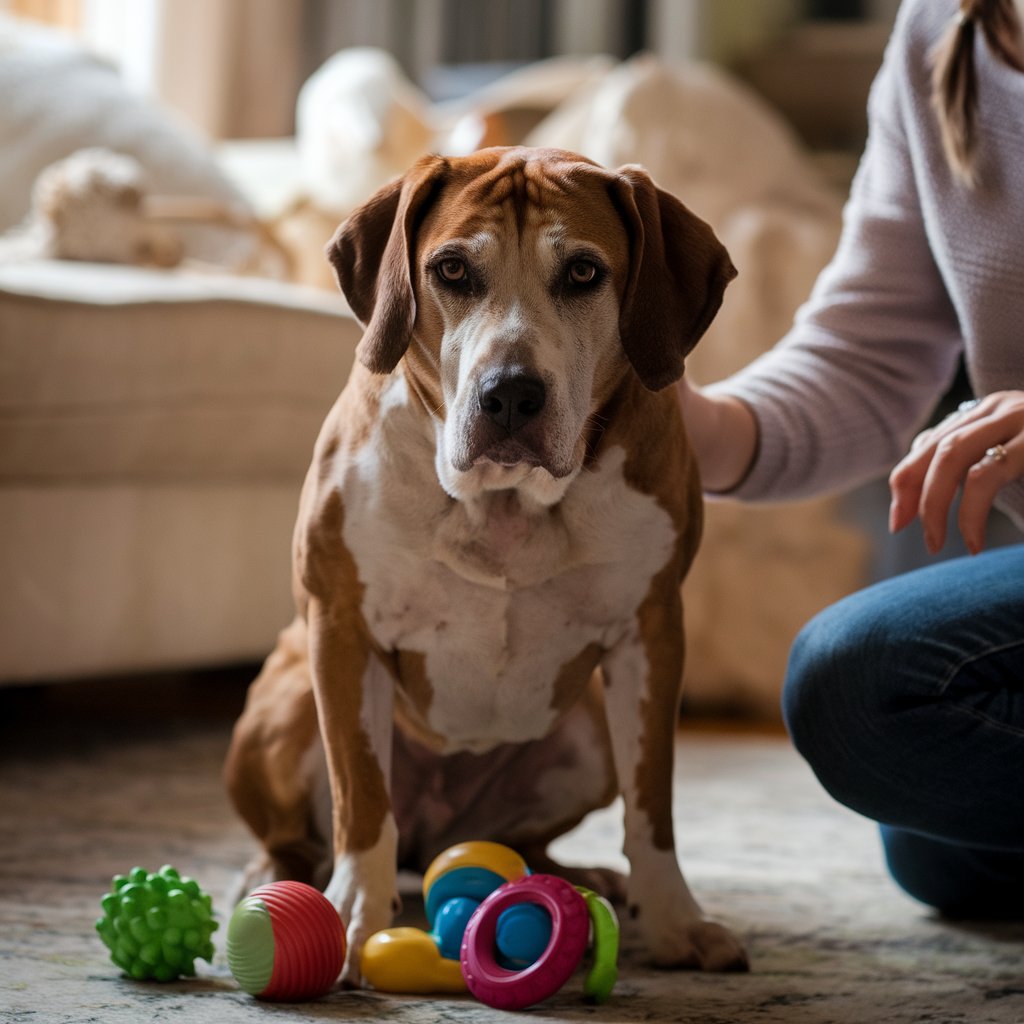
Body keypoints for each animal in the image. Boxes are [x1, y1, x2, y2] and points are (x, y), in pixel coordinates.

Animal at [228, 146, 749, 983]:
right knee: (307, 834)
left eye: (583, 272)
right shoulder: (341, 627)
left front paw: (674, 920)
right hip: (285, 708)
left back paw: (578, 874)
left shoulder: (652, 632)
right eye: (451, 269)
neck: (507, 505)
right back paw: (274, 872)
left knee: (528, 840)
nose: (510, 394)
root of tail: (436, 831)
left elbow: (654, 800)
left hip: (586, 740)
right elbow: (360, 797)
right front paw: (352, 917)